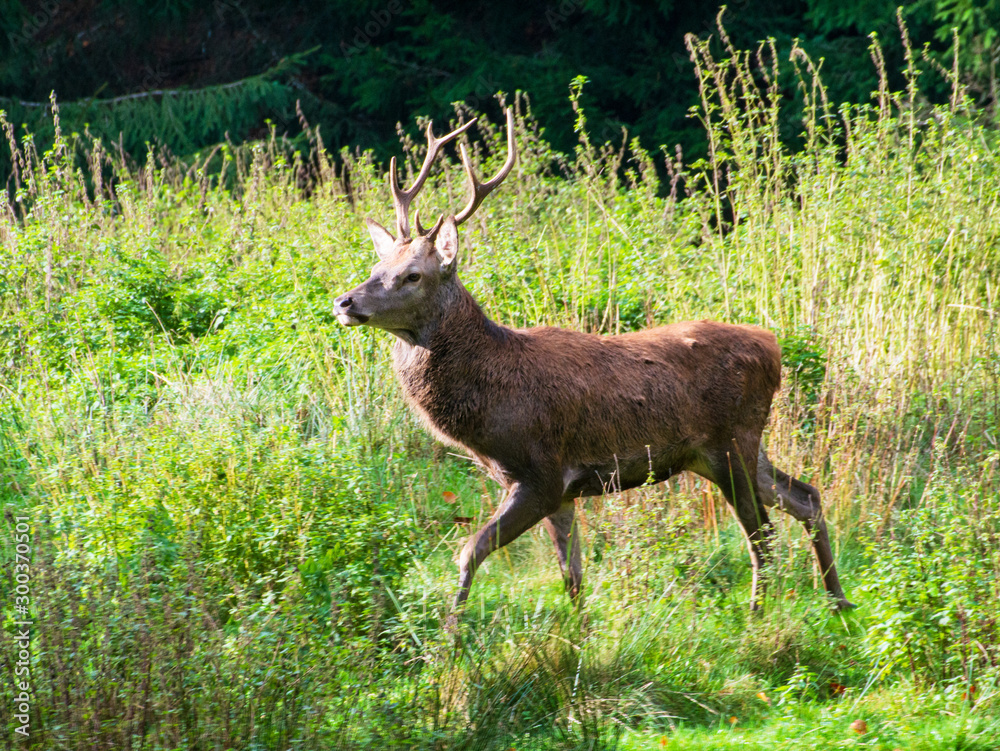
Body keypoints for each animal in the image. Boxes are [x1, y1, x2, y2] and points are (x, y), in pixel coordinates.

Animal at [334, 108, 855, 614]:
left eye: (412, 275)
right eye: (376, 267)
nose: (344, 301)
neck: (488, 405)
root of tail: (773, 347)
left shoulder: (541, 472)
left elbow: (469, 551)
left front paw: (453, 634)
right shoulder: (561, 489)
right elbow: (572, 576)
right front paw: (577, 636)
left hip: (732, 439)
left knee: (762, 534)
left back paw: (757, 618)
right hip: (725, 450)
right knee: (806, 496)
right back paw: (838, 600)